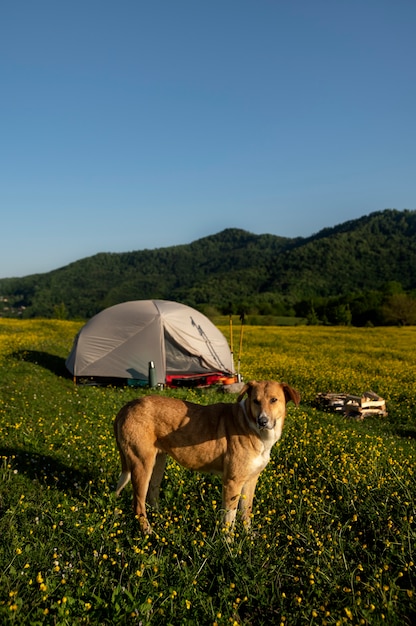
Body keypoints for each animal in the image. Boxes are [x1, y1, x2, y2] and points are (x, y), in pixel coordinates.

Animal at [113, 380, 300, 532]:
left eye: (274, 400)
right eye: (256, 401)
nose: (262, 421)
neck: (251, 425)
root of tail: (127, 406)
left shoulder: (251, 480)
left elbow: (246, 513)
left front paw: (248, 538)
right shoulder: (232, 482)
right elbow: (229, 520)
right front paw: (229, 546)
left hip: (158, 463)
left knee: (152, 492)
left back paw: (160, 520)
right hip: (142, 464)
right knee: (138, 505)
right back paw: (149, 533)